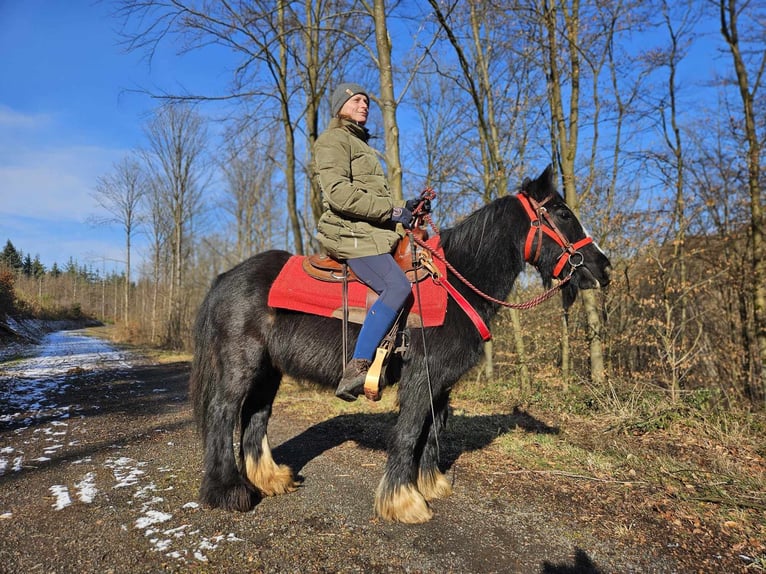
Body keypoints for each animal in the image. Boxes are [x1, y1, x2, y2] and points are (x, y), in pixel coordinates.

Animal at [190, 164, 612, 524]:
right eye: (563, 214)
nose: (603, 268)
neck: (455, 285)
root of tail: (225, 278)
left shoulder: (441, 382)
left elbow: (433, 429)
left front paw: (429, 484)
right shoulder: (421, 377)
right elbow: (409, 431)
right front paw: (403, 501)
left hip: (269, 370)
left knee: (255, 416)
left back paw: (270, 478)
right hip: (241, 364)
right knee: (223, 413)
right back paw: (229, 491)